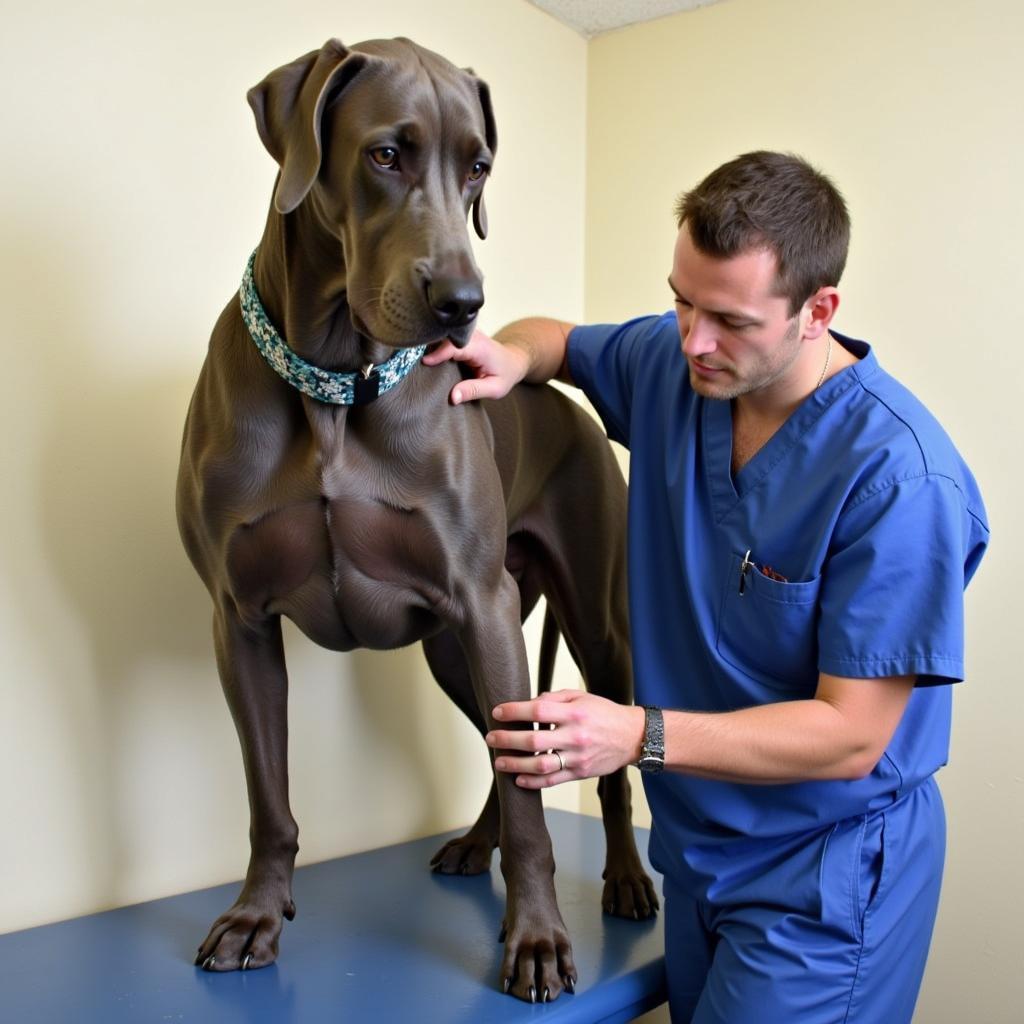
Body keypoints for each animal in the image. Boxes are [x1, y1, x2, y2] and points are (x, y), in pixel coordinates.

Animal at [176, 36, 655, 1003]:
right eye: (386, 154)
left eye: (478, 167)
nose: (463, 304)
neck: (334, 382)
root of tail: (573, 410)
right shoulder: (239, 621)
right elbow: (268, 798)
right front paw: (255, 916)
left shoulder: (482, 603)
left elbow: (538, 808)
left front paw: (537, 940)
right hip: (455, 646)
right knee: (504, 751)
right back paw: (477, 843)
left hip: (584, 623)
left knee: (596, 768)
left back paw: (622, 876)